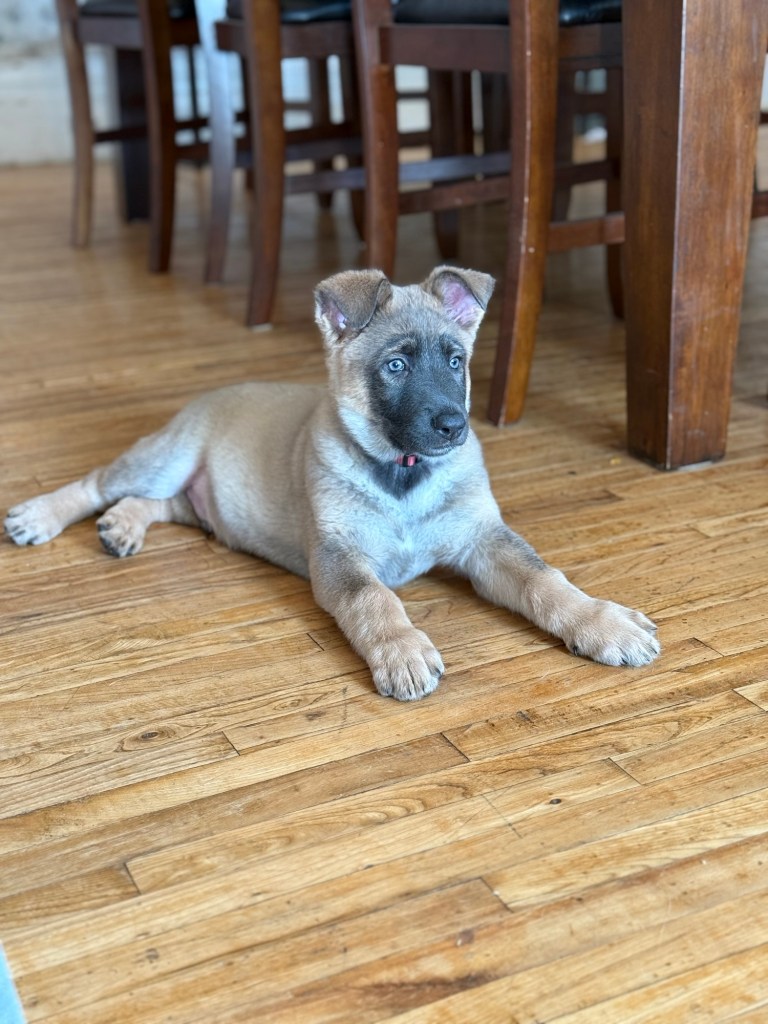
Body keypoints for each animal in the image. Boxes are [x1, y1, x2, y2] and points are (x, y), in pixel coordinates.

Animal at [4, 266, 659, 699]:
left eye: (456, 361)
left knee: (159, 505)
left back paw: (122, 525)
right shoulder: (340, 557)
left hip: (198, 499)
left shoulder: (484, 540)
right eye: (395, 366)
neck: (403, 473)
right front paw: (401, 650)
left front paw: (602, 623)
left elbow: (545, 580)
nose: (454, 426)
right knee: (98, 482)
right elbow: (375, 599)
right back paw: (40, 515)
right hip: (165, 456)